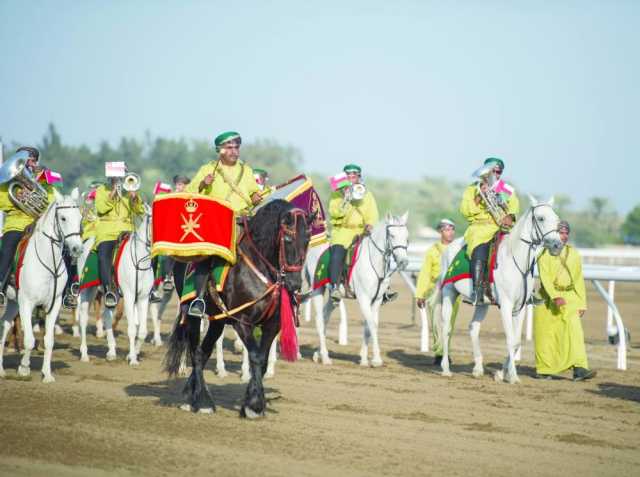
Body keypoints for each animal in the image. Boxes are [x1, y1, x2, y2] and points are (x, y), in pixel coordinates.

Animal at [0, 188, 83, 382]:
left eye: (80, 218)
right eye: (63, 218)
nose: (77, 249)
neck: (48, 261)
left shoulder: (54, 305)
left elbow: (49, 341)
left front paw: (47, 374)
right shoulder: (27, 303)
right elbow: (29, 340)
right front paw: (23, 369)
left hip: (13, 303)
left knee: (5, 325)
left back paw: (1, 370)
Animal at [76, 208, 152, 364]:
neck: (139, 262)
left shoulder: (143, 298)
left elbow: (142, 332)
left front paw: (132, 354)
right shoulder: (129, 297)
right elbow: (132, 330)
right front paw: (133, 359)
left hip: (112, 294)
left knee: (107, 316)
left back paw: (111, 351)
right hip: (88, 290)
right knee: (84, 318)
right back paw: (84, 354)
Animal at [162, 199, 312, 418]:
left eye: (307, 239)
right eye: (287, 238)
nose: (294, 284)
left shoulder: (272, 324)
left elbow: (263, 359)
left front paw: (252, 401)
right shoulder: (242, 321)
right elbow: (256, 356)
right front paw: (254, 405)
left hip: (218, 321)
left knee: (203, 353)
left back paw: (192, 395)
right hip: (192, 315)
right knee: (195, 352)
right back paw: (202, 401)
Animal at [308, 211, 408, 364]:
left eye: (407, 236)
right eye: (392, 235)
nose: (404, 262)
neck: (373, 260)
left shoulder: (377, 300)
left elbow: (369, 327)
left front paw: (364, 358)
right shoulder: (364, 299)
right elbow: (372, 325)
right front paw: (376, 359)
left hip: (333, 298)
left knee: (325, 317)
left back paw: (318, 354)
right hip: (317, 290)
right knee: (319, 319)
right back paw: (325, 357)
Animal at [436, 197, 560, 384]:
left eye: (557, 219)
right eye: (541, 218)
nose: (557, 245)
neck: (516, 260)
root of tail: (449, 247)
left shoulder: (520, 308)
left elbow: (516, 341)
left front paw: (502, 373)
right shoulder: (506, 306)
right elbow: (509, 338)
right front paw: (513, 376)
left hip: (482, 304)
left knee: (473, 328)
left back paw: (478, 369)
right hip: (449, 293)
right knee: (446, 328)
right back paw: (445, 369)